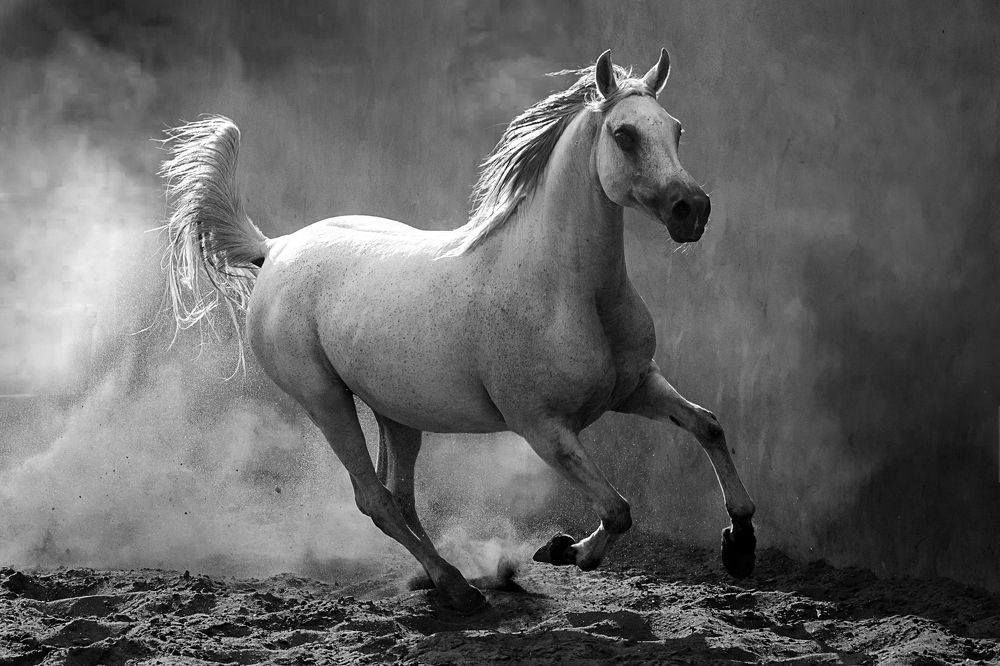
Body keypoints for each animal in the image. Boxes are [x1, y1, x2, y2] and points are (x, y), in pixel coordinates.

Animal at [159, 49, 757, 611]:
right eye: (624, 135)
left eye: (676, 129)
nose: (692, 210)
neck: (566, 289)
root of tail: (277, 248)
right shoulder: (544, 428)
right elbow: (618, 510)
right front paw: (564, 550)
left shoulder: (635, 388)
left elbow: (708, 426)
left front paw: (740, 544)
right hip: (324, 399)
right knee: (374, 498)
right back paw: (457, 589)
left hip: (395, 410)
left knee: (400, 497)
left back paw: (442, 579)